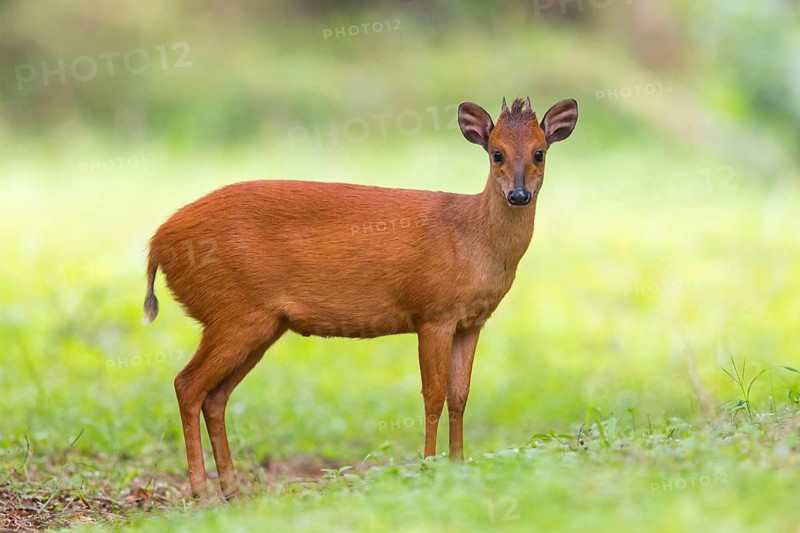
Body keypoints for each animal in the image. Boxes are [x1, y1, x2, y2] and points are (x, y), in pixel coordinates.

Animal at [144, 97, 578, 499]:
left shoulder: (472, 322)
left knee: (215, 396)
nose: (519, 194)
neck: (472, 238)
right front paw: (428, 468)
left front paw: (457, 465)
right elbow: (433, 395)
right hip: (232, 310)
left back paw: (233, 489)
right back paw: (201, 491)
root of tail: (157, 244)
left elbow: (460, 396)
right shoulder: (432, 312)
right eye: (496, 152)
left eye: (539, 152)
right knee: (187, 384)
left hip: (258, 323)